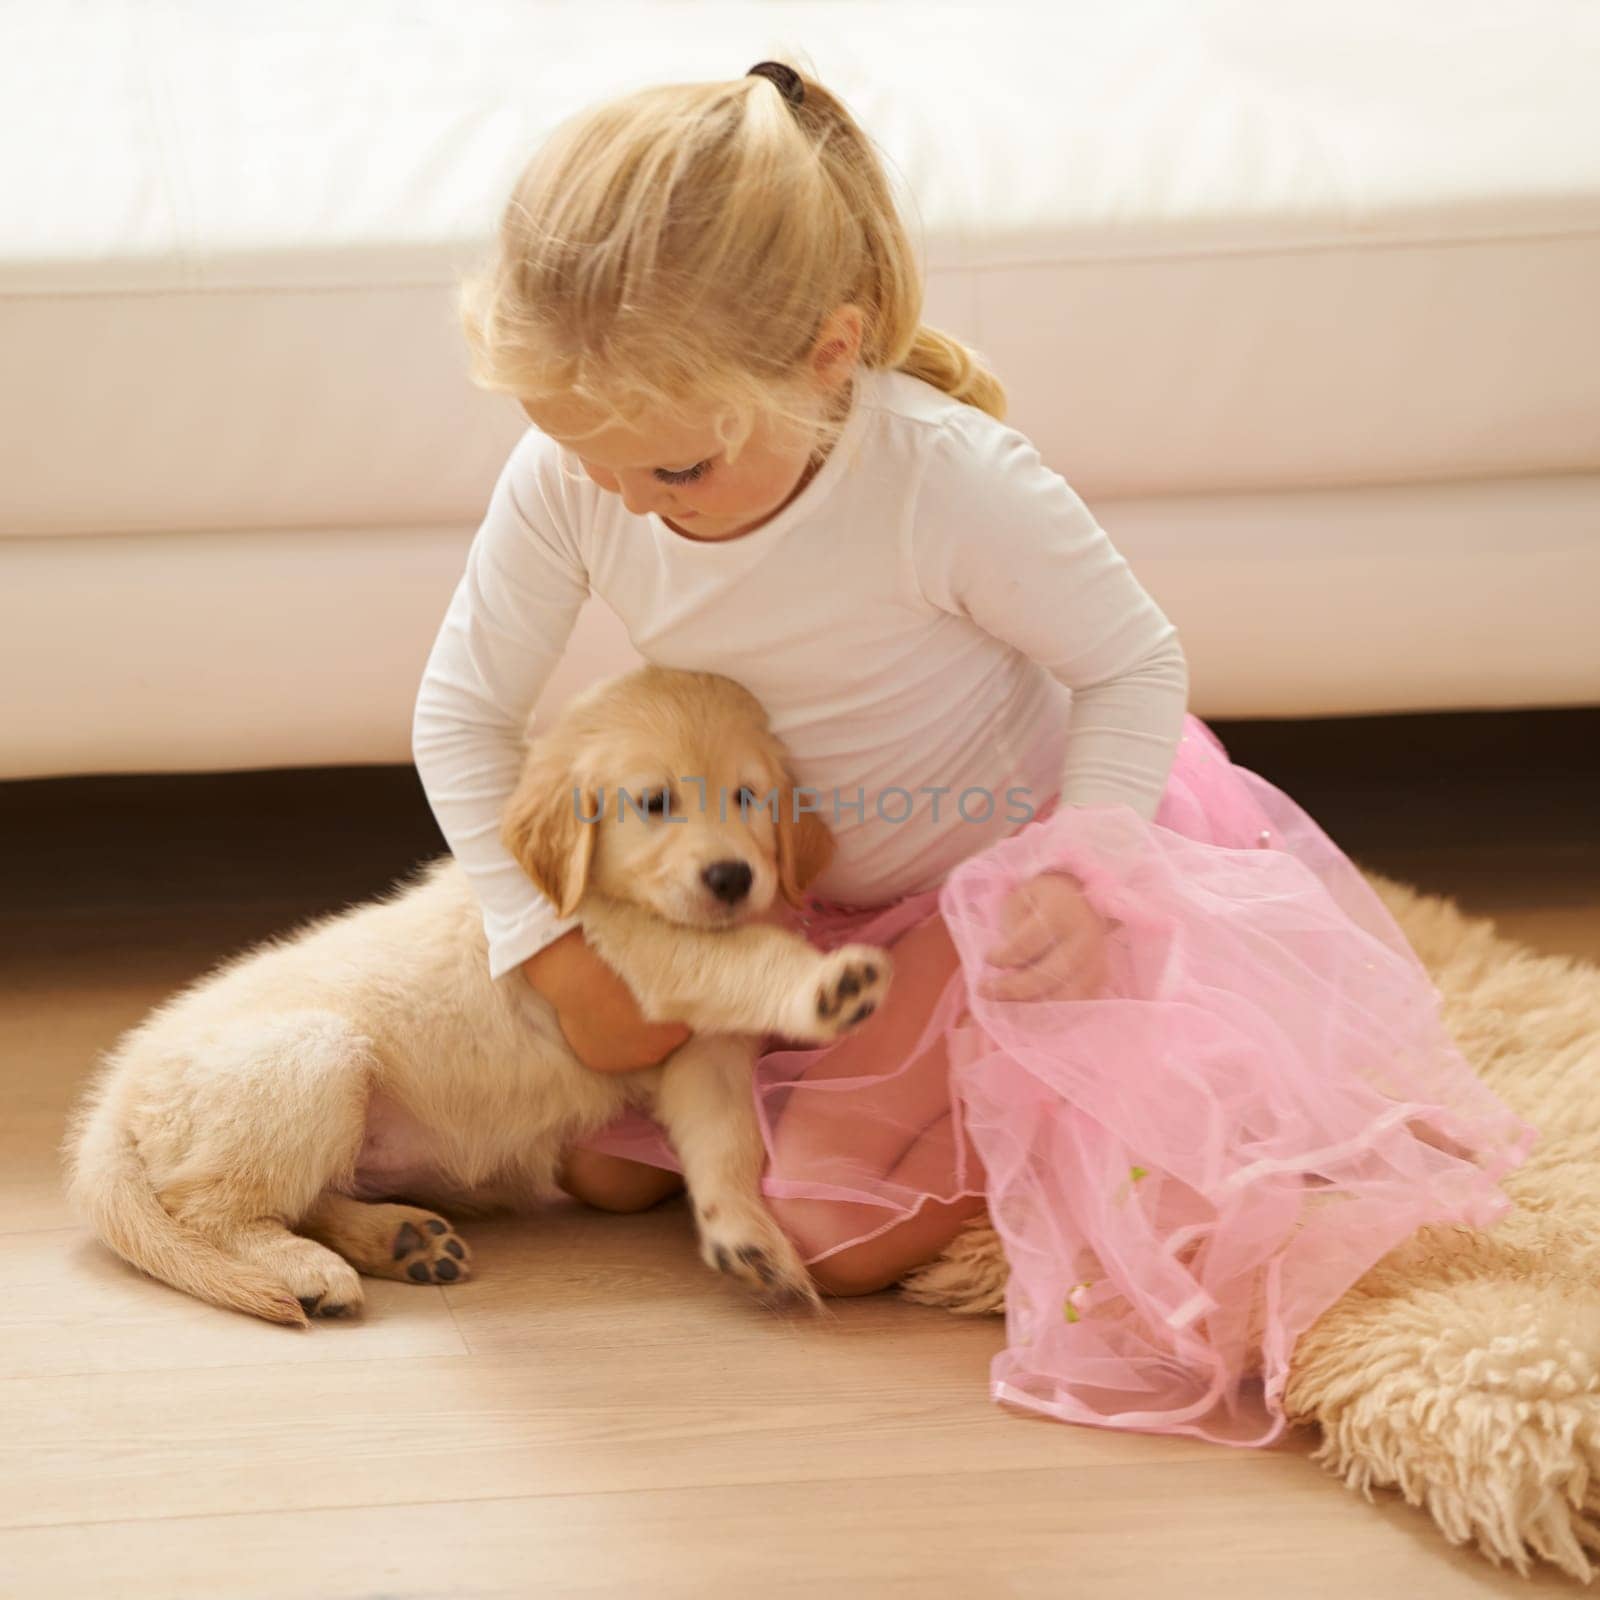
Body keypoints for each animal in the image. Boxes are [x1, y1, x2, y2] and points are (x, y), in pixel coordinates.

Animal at [65, 662, 889, 1324]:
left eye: (749, 796)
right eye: (654, 804)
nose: (731, 878)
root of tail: (119, 1090)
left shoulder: (699, 1057)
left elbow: (726, 1143)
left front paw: (749, 1239)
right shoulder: (638, 950)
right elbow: (743, 959)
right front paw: (830, 982)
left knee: (309, 1196)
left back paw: (401, 1240)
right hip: (314, 1059)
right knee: (210, 1210)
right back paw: (309, 1270)